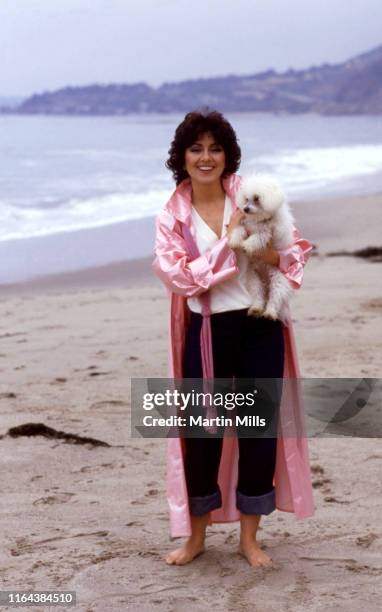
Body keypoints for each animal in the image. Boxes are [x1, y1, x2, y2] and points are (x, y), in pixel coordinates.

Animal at [228, 173, 294, 320]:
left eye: (257, 198)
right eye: (246, 199)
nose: (245, 209)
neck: (258, 219)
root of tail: (266, 283)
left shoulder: (265, 234)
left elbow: (255, 239)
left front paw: (246, 246)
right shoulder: (244, 224)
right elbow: (239, 230)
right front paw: (234, 241)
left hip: (278, 280)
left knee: (275, 297)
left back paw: (270, 312)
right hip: (254, 279)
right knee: (258, 295)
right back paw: (256, 309)